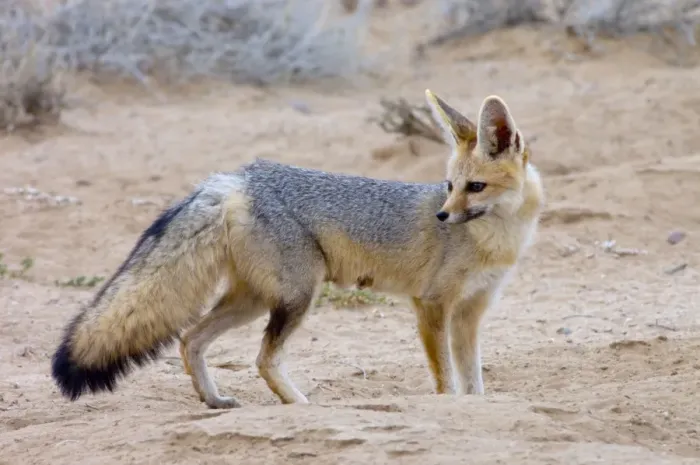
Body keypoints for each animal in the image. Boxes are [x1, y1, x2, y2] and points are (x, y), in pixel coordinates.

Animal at [51, 91, 544, 409]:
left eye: (473, 187)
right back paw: (301, 404)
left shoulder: (470, 313)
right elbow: (446, 379)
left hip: (254, 300)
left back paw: (213, 399)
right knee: (263, 359)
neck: (495, 240)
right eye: (449, 185)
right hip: (297, 297)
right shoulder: (432, 305)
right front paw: (448, 404)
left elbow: (473, 379)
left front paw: (474, 404)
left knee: (191, 338)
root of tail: (236, 177)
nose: (441, 216)